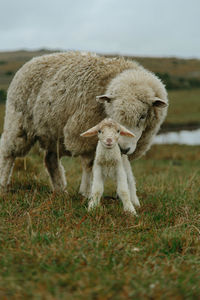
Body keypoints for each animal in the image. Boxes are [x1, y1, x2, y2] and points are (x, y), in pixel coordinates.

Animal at [0, 52, 168, 202]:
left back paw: (60, 190)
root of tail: (32, 60)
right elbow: (89, 165)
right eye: (113, 114)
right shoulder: (84, 135)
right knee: (8, 152)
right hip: (18, 121)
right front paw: (86, 192)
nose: (124, 148)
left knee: (50, 159)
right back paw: (3, 185)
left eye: (143, 116)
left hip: (53, 132)